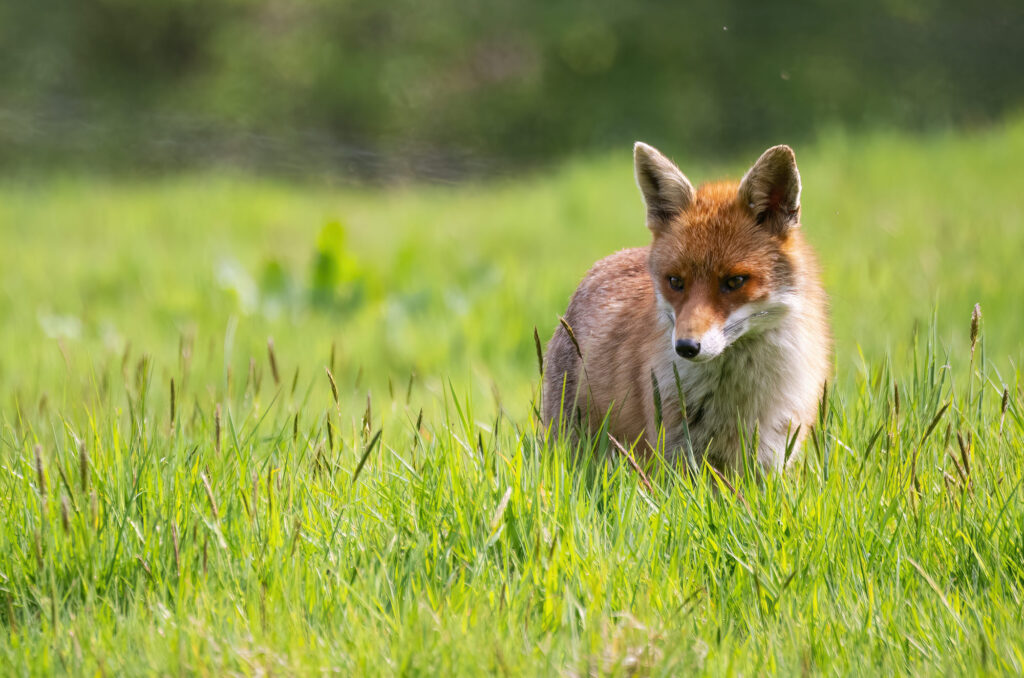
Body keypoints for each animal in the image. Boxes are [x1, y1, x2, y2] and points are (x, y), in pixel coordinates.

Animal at [542, 142, 830, 473]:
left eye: (734, 281)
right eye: (676, 281)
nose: (686, 347)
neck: (737, 402)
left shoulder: (772, 459)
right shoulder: (677, 456)